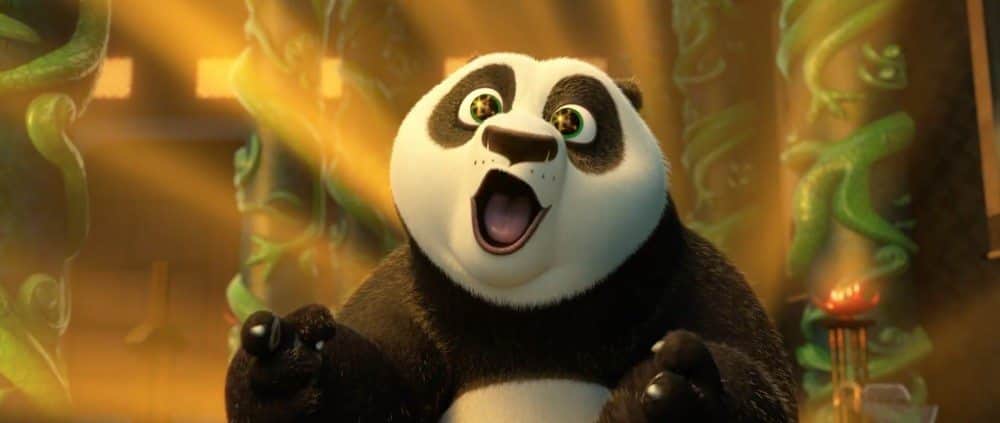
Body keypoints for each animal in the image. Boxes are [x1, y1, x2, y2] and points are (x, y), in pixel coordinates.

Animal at [225, 53, 797, 422]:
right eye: (482, 107)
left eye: (571, 121)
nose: (518, 142)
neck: (522, 312)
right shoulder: (408, 295)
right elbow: (373, 390)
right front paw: (290, 363)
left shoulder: (677, 275)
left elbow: (758, 379)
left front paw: (672, 391)